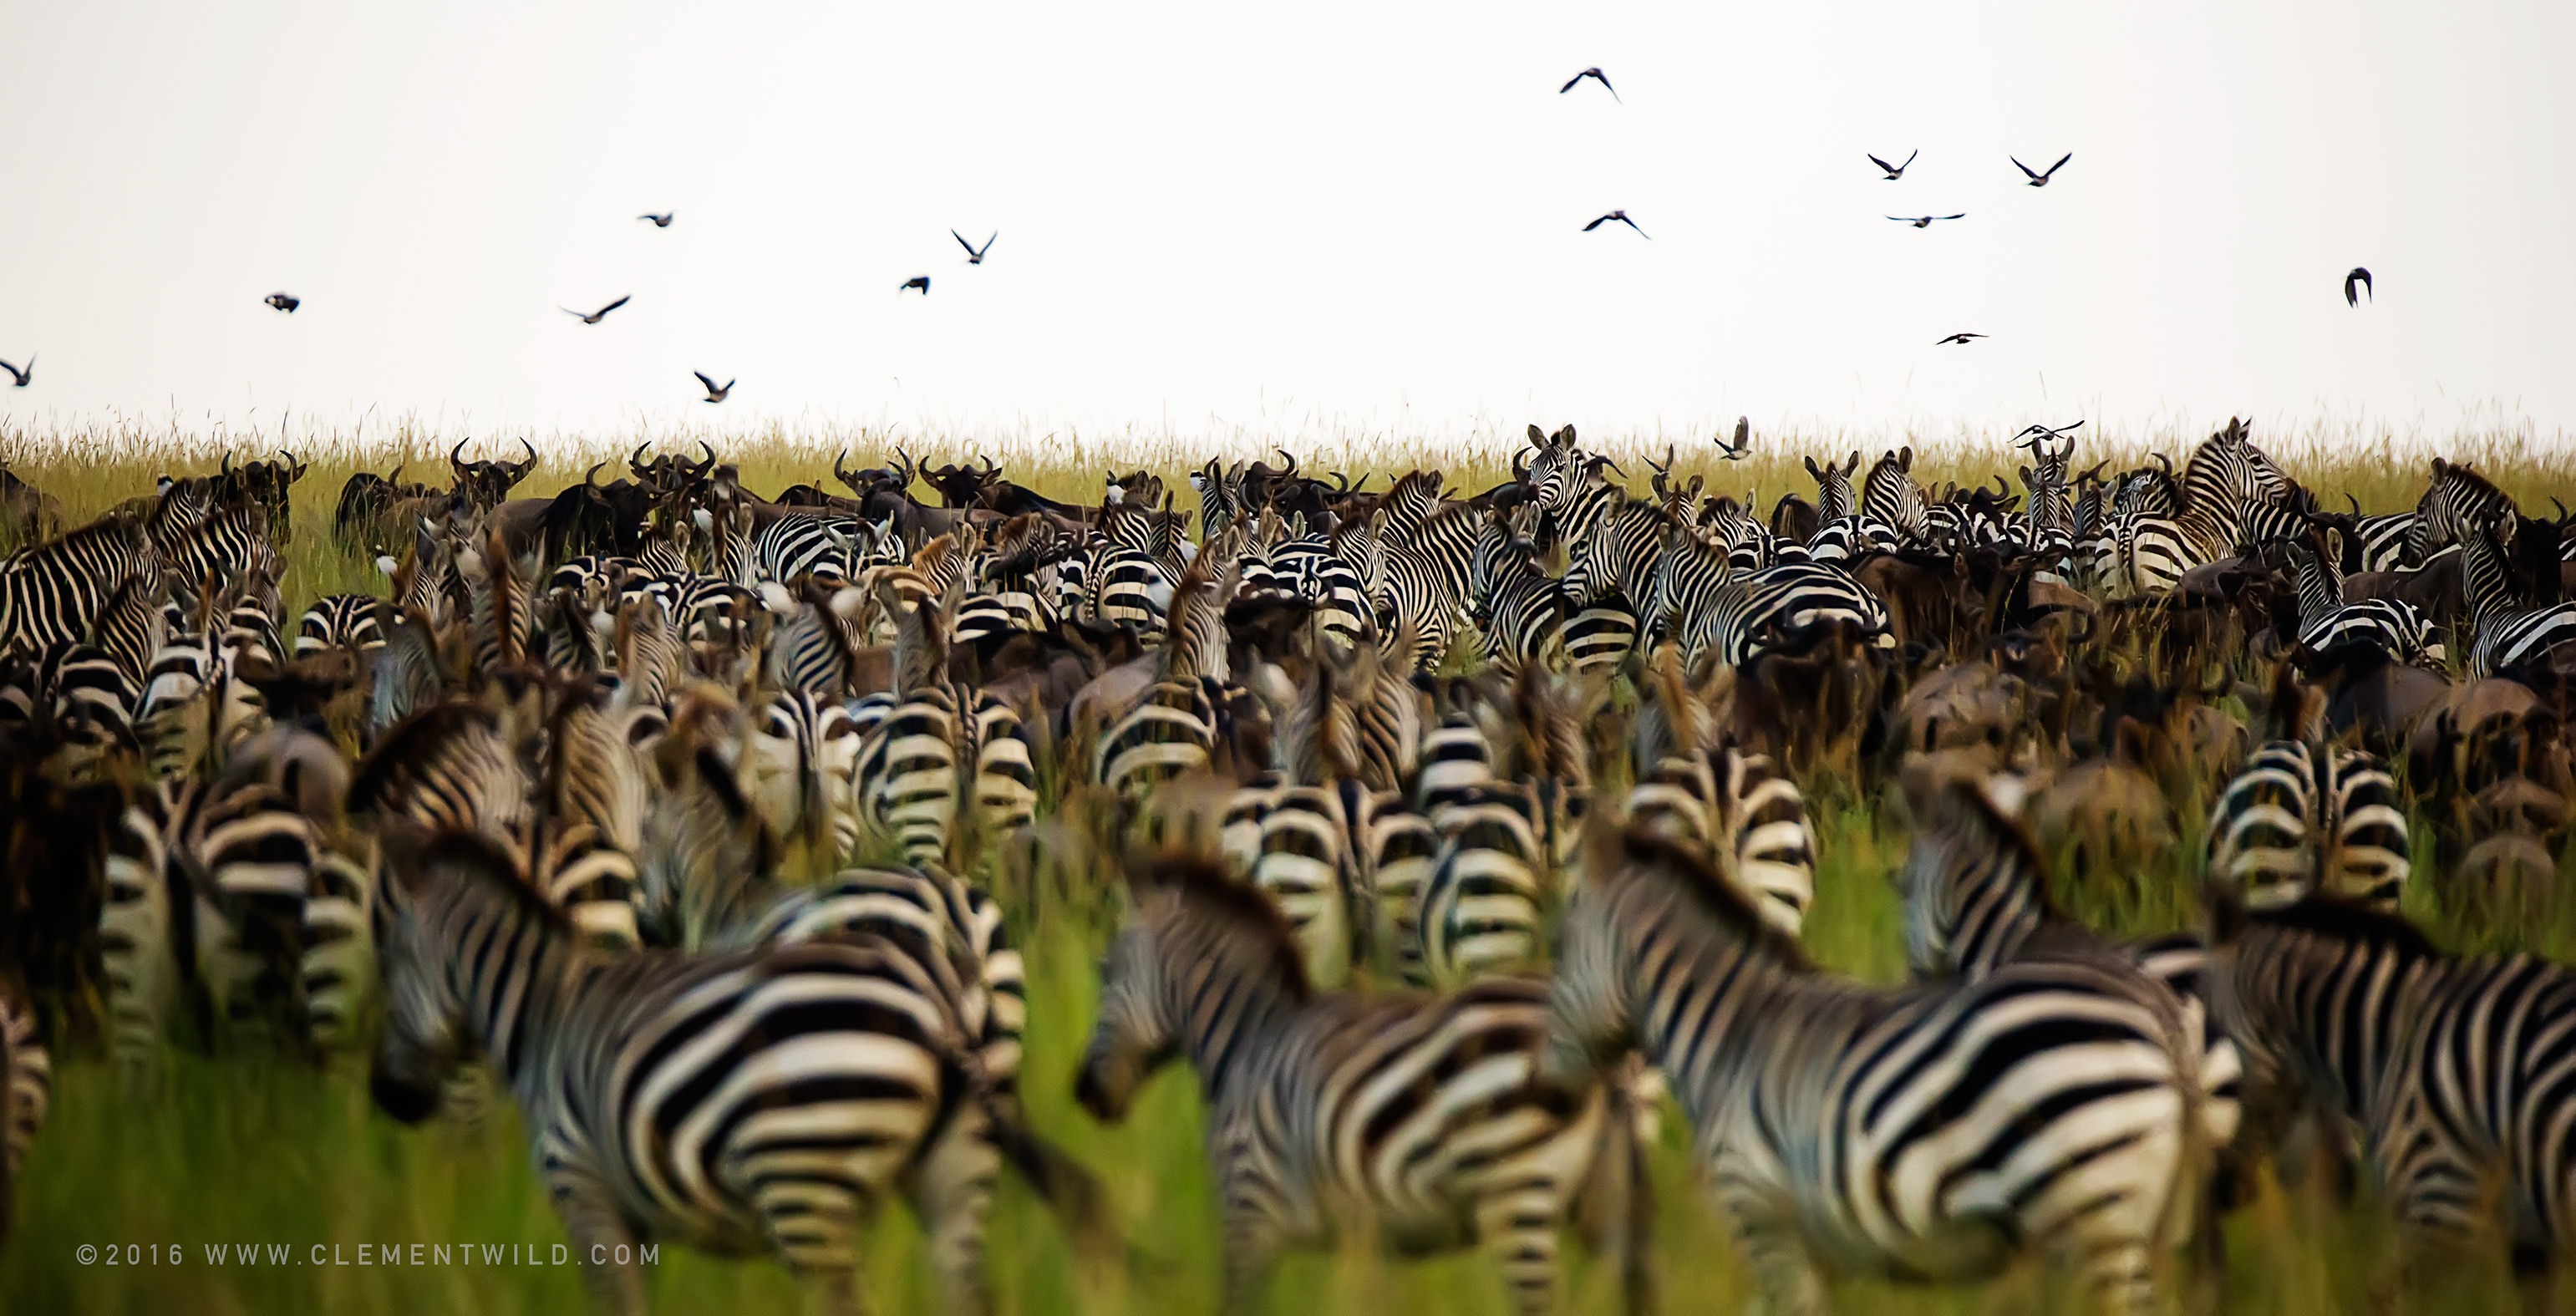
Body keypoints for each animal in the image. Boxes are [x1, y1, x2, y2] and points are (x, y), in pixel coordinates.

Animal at [376, 829, 1014, 1313]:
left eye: (391, 964)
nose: (387, 1096)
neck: (546, 1010)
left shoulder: (582, 1186)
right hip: (960, 1156)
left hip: (804, 1177)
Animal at [1071, 855, 1638, 1316]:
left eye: (1105, 972)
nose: (1083, 1092)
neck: (1248, 1042)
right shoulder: (1366, 1236)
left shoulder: (1249, 1209)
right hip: (1599, 1203)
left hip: (1517, 1197)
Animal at [1535, 824, 2205, 1316]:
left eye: (1558, 948)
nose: (1544, 1089)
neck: (1732, 1034)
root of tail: (2158, 1015)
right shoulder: (1821, 1250)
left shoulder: (1762, 1218)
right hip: (2145, 1223)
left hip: (2096, 1215)